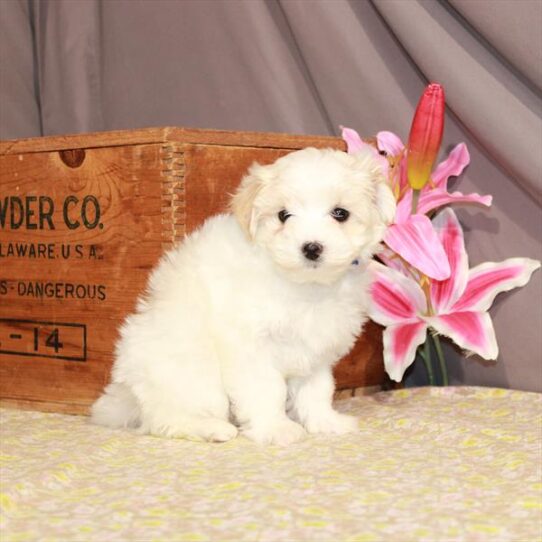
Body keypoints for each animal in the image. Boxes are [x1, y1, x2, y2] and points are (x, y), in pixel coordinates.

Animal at [90, 149, 396, 446]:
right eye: (283, 215)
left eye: (340, 213)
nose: (311, 248)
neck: (305, 285)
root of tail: (128, 387)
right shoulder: (250, 345)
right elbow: (267, 389)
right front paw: (276, 428)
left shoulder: (317, 350)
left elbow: (316, 390)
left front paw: (325, 422)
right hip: (193, 373)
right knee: (166, 419)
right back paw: (213, 429)